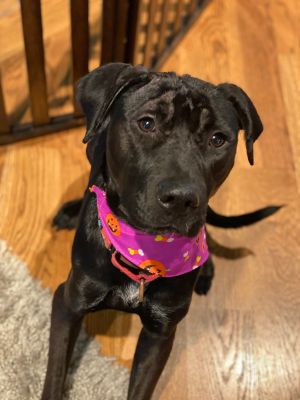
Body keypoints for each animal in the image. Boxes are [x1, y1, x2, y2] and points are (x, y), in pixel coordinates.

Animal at [42, 64, 274, 398]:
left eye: (218, 139)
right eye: (147, 123)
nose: (181, 199)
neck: (143, 249)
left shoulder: (160, 332)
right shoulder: (67, 303)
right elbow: (55, 374)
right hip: (92, 144)